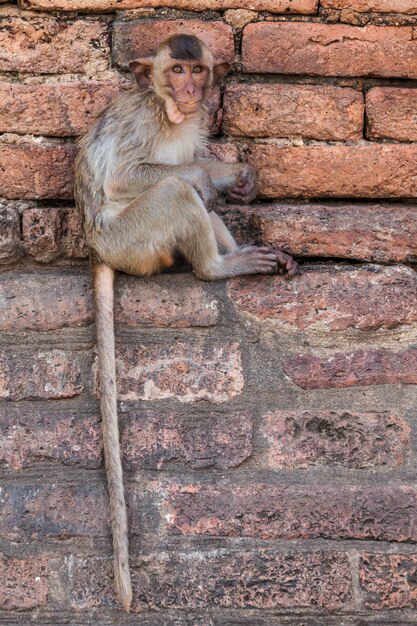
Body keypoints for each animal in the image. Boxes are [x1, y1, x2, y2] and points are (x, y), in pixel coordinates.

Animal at [74, 33, 296, 608]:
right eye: (176, 70)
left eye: (198, 70)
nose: (192, 91)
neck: (169, 112)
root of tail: (96, 248)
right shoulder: (143, 121)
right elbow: (129, 174)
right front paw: (218, 174)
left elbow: (199, 158)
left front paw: (240, 178)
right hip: (132, 239)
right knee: (177, 191)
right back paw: (217, 265)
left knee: (198, 200)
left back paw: (244, 252)